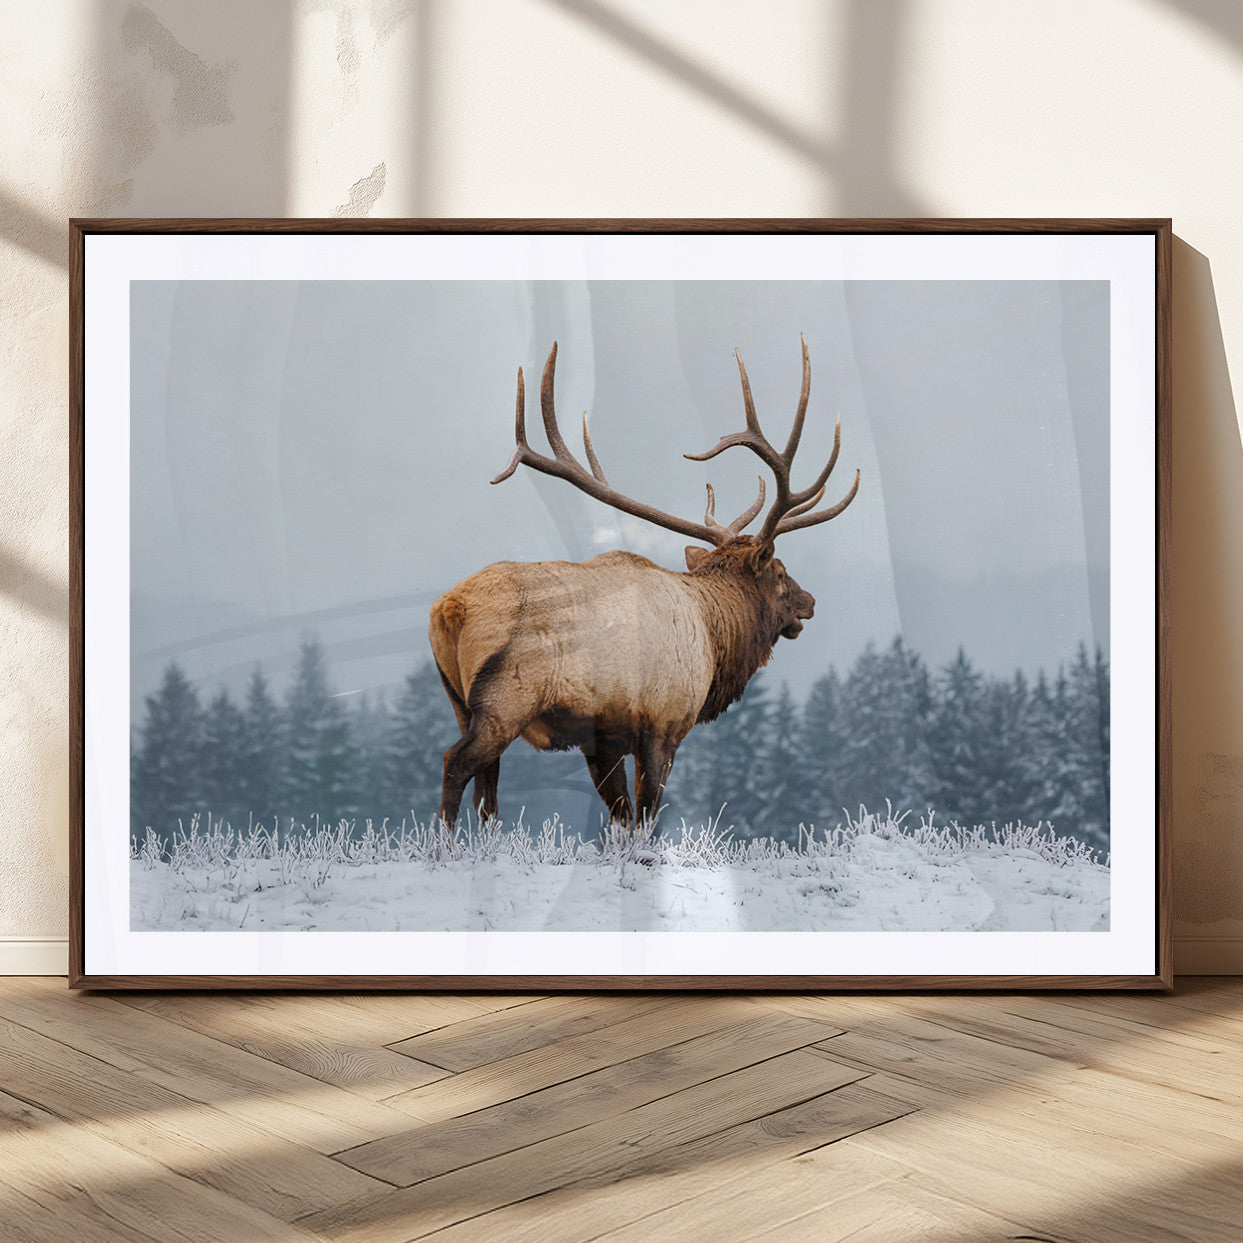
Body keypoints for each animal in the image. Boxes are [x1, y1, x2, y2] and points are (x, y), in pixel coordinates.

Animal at [429, 335, 860, 830]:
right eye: (781, 572)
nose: (811, 601)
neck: (714, 639)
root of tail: (449, 609)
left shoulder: (602, 740)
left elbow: (621, 816)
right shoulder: (663, 723)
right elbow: (647, 816)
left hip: (458, 701)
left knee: (487, 788)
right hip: (505, 699)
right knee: (456, 763)